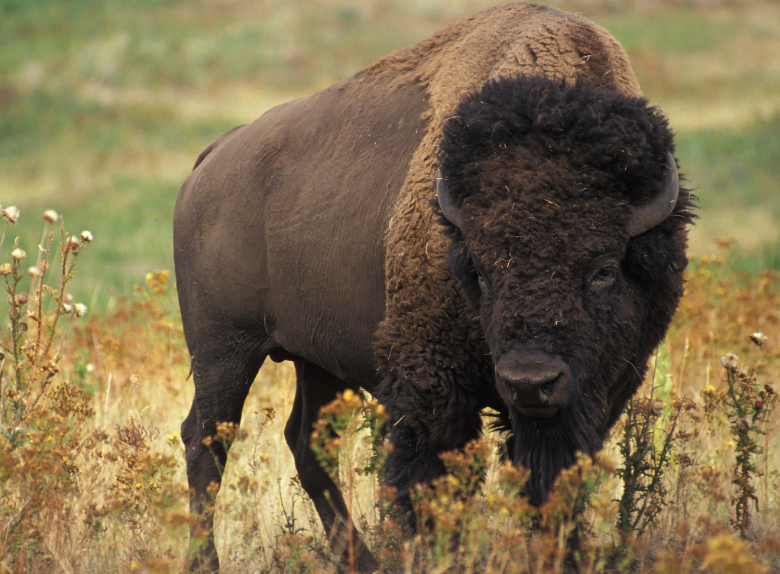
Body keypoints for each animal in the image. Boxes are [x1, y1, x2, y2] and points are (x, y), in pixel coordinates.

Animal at [174, 2, 692, 572]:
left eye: (603, 268)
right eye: (480, 270)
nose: (529, 381)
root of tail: (213, 159)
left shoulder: (597, 392)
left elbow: (553, 482)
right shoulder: (431, 385)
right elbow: (430, 482)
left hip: (315, 359)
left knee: (305, 442)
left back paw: (363, 560)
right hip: (224, 350)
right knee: (206, 443)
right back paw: (207, 561)